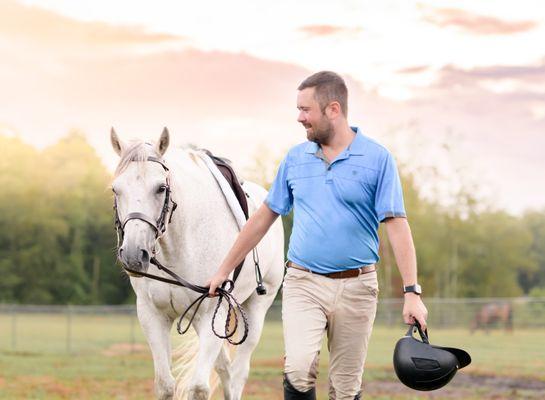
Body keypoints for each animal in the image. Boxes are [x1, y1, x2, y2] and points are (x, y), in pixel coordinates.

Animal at [109, 129, 282, 400]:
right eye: (116, 189)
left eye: (160, 188)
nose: (134, 254)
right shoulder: (152, 316)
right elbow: (165, 385)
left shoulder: (212, 313)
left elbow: (199, 387)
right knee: (225, 370)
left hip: (255, 310)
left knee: (237, 376)